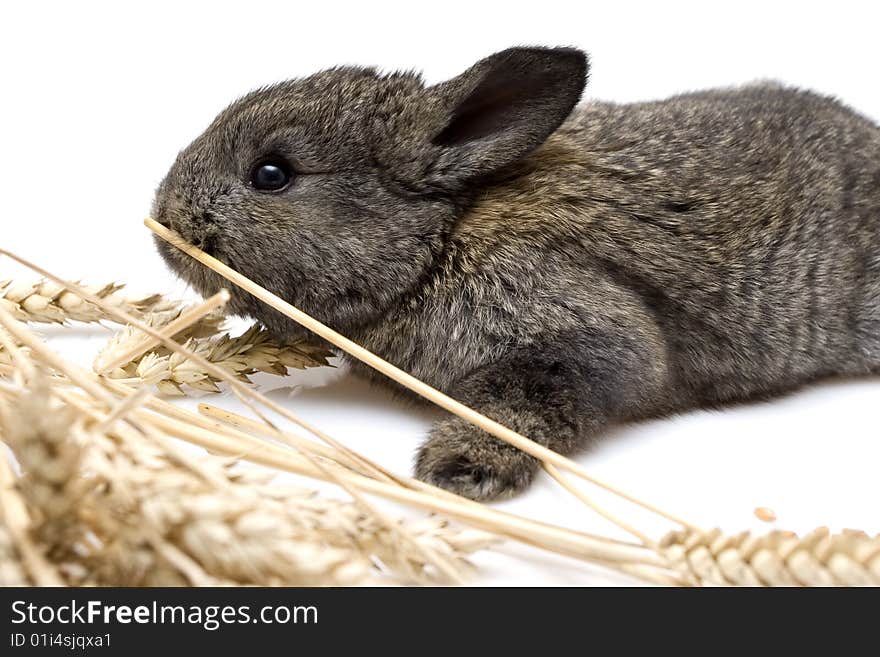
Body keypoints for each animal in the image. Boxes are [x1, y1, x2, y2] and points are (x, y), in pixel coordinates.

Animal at [155, 44, 880, 498]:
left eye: (271, 174)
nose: (165, 218)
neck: (440, 238)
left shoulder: (580, 339)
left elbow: (519, 404)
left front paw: (460, 467)